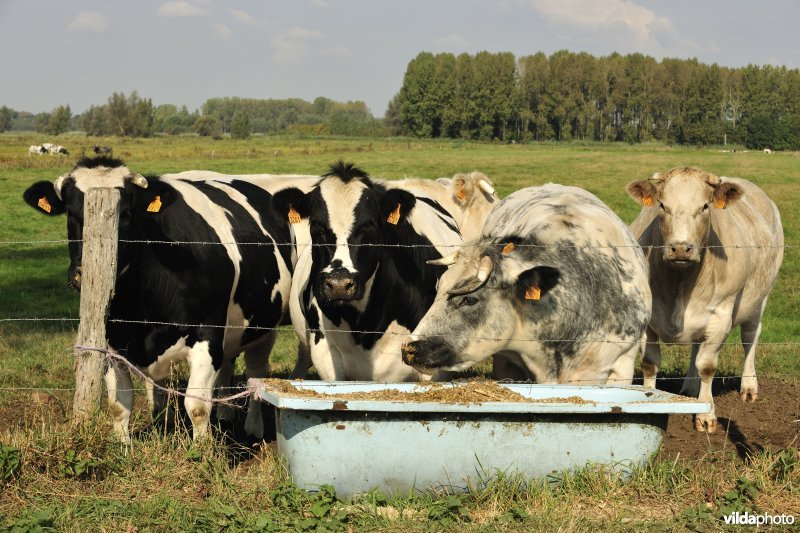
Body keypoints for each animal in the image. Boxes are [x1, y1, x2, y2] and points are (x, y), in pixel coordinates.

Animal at [24, 157, 316, 440]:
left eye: (126, 213)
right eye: (71, 213)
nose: (81, 274)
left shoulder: (207, 333)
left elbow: (197, 406)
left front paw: (203, 451)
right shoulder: (110, 342)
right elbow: (120, 405)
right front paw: (123, 446)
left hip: (263, 326)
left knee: (257, 372)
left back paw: (252, 427)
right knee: (224, 365)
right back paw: (220, 416)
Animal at [624, 166, 780, 432]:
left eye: (705, 206)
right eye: (662, 205)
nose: (680, 248)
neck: (679, 284)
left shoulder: (720, 317)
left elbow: (707, 367)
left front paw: (706, 415)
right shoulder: (647, 321)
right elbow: (650, 364)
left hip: (759, 298)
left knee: (750, 337)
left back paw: (749, 387)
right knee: (697, 346)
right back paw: (690, 387)